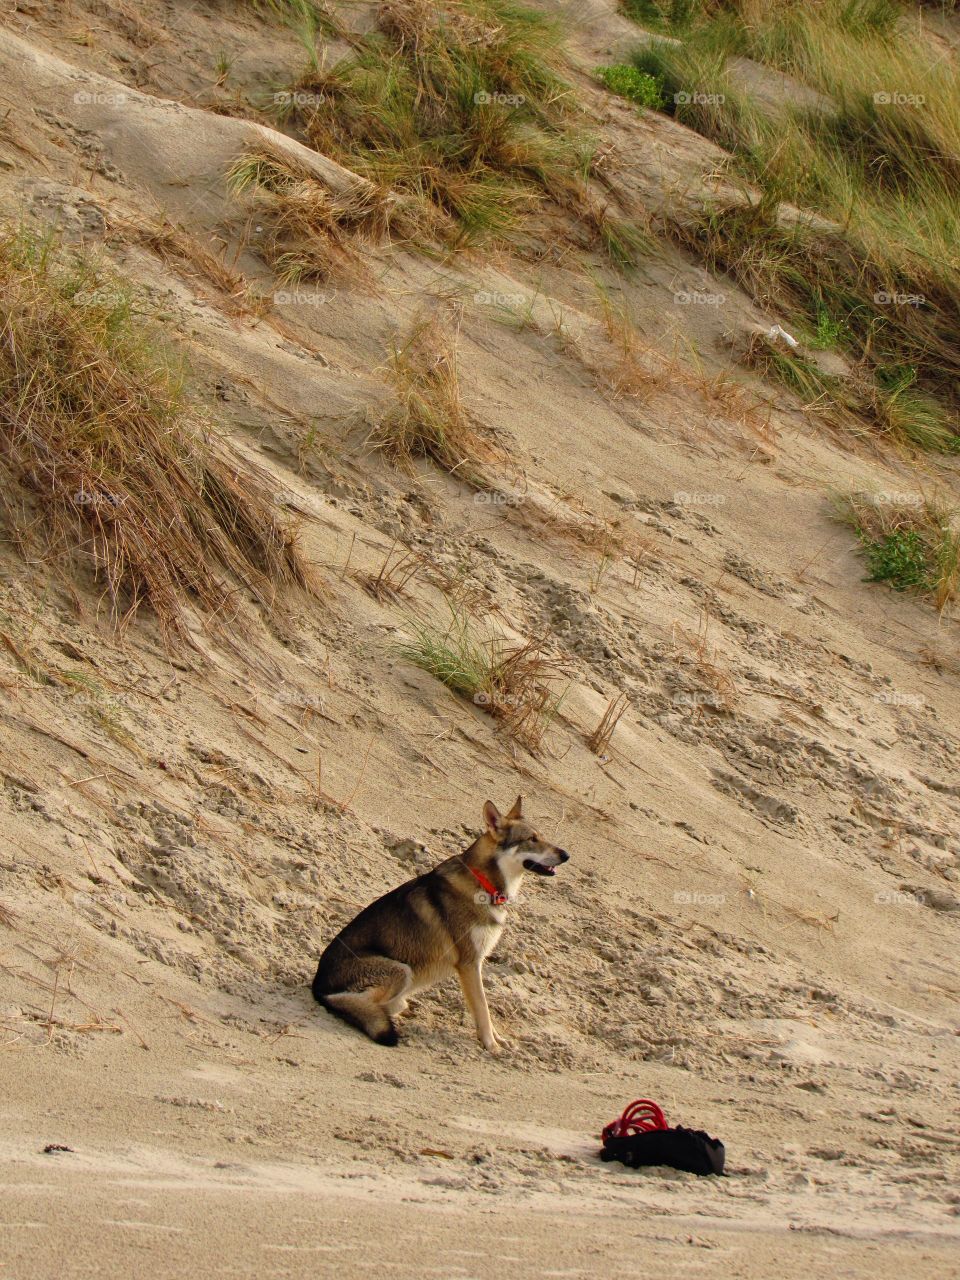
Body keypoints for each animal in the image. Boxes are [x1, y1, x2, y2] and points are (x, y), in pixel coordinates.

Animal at [313, 793, 570, 1054]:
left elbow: (484, 1010)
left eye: (543, 836)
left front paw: (499, 1040)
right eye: (531, 839)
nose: (566, 855)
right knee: (361, 1006)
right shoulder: (469, 964)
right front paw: (491, 1045)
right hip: (402, 970)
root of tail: (317, 986)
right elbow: (483, 1009)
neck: (483, 883)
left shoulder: (475, 962)